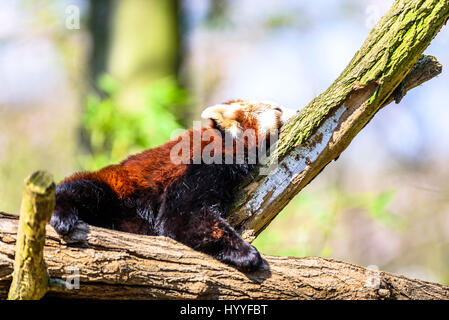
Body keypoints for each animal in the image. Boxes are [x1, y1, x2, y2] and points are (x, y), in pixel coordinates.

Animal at [51, 99, 294, 270]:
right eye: (277, 109)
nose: (292, 109)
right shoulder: (196, 168)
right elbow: (180, 217)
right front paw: (247, 253)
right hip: (115, 191)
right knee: (82, 191)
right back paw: (63, 215)